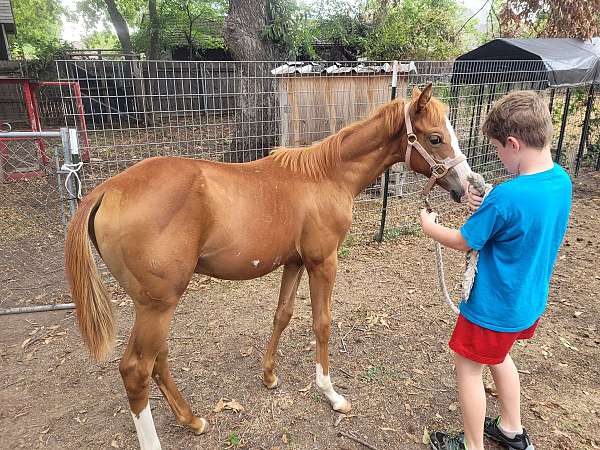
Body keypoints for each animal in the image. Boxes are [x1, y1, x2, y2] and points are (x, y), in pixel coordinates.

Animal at [65, 83, 474, 446]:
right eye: (435, 138)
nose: (468, 185)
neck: (326, 175)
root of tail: (107, 190)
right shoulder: (322, 262)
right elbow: (321, 322)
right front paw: (331, 394)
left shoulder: (294, 261)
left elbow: (283, 314)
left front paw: (269, 376)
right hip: (158, 304)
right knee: (136, 369)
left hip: (154, 305)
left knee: (156, 360)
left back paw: (192, 420)